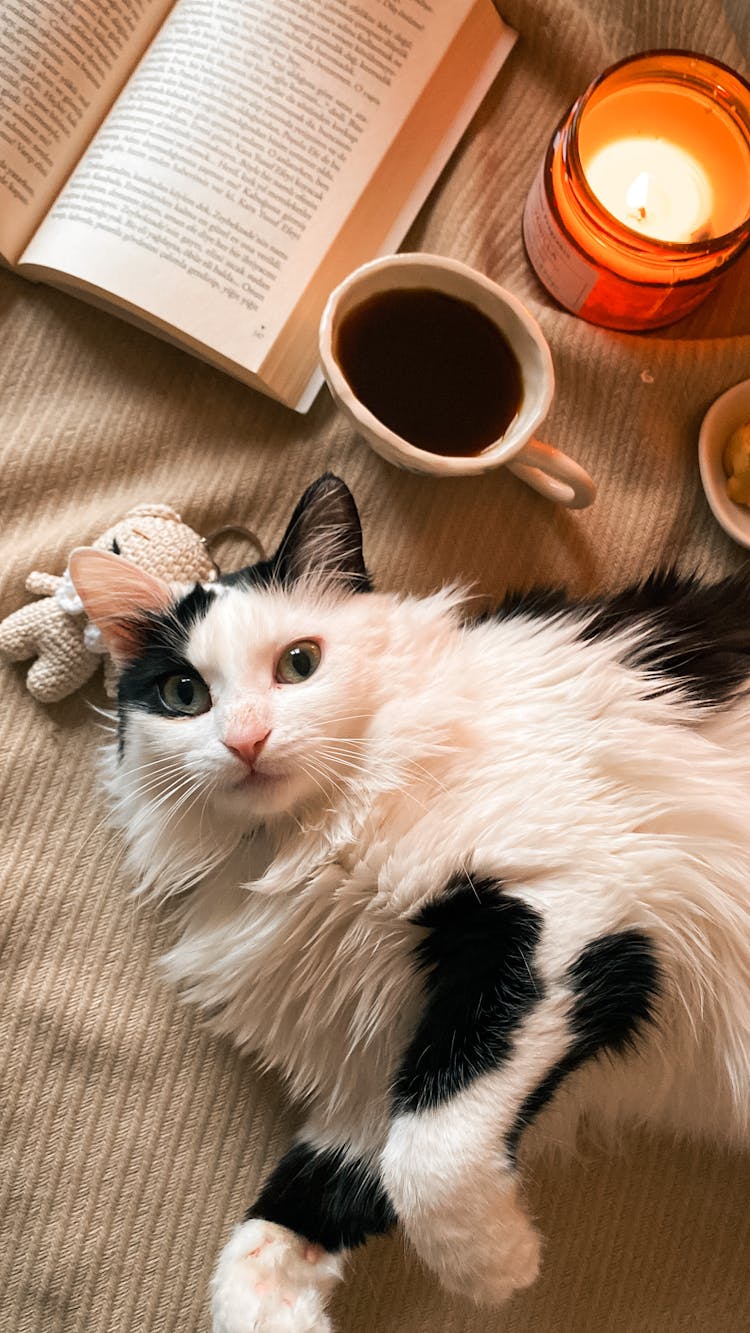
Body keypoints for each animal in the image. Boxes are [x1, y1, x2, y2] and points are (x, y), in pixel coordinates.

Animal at [70, 479, 750, 1333]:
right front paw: (274, 1311)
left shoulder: (566, 914)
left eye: (300, 662)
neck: (299, 847)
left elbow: (426, 1152)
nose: (247, 741)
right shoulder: (379, 1068)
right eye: (183, 693)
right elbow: (300, 1205)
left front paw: (495, 1263)